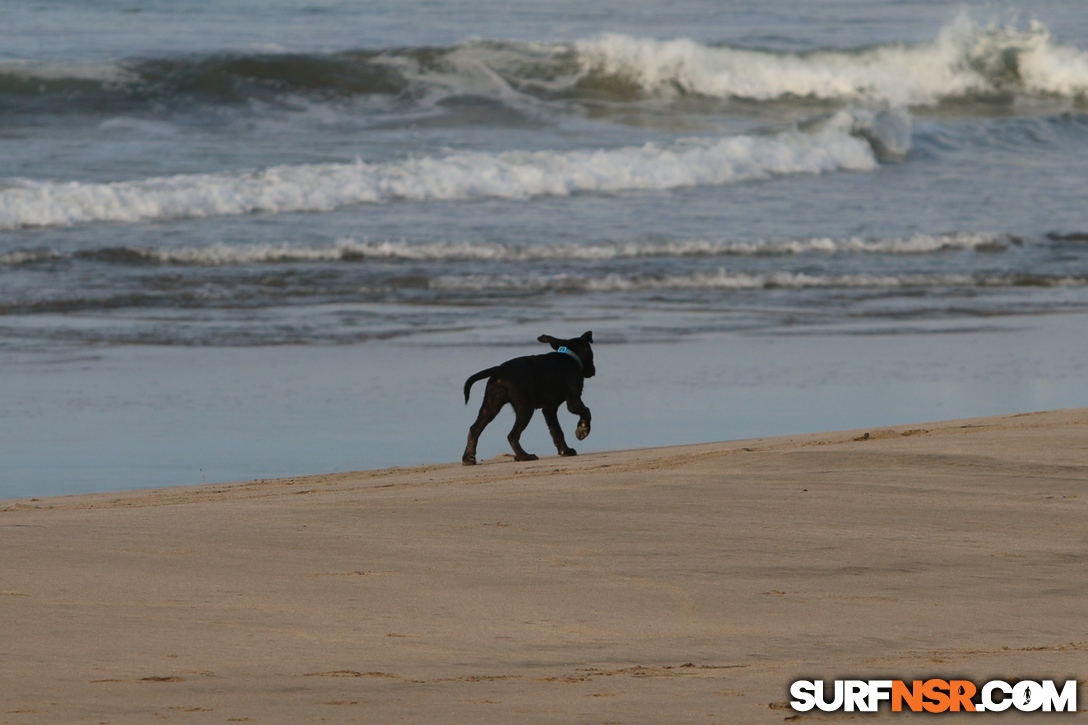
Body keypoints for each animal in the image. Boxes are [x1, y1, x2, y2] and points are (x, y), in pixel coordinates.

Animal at [459, 330, 596, 465]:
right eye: (591, 354)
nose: (593, 371)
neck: (570, 356)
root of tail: (499, 369)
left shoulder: (549, 409)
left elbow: (556, 431)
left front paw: (565, 451)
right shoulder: (573, 401)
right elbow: (586, 411)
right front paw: (582, 430)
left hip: (491, 405)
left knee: (475, 429)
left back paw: (468, 458)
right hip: (525, 408)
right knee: (512, 435)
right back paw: (523, 456)